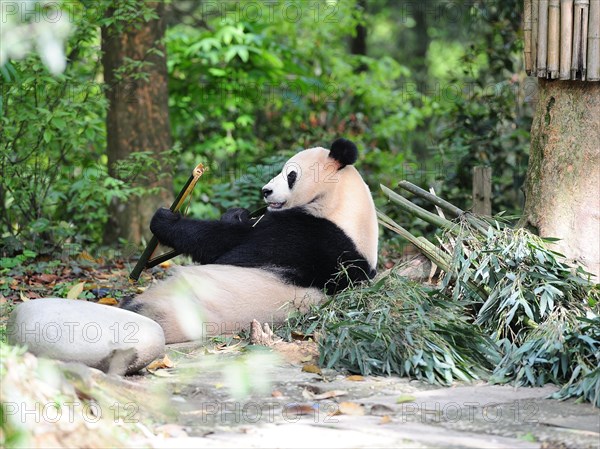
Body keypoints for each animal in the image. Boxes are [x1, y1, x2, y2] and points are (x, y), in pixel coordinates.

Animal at [119, 138, 378, 342]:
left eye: (291, 175)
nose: (265, 191)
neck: (343, 207)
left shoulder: (305, 233)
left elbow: (222, 242)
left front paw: (164, 219)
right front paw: (237, 212)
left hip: (177, 304)